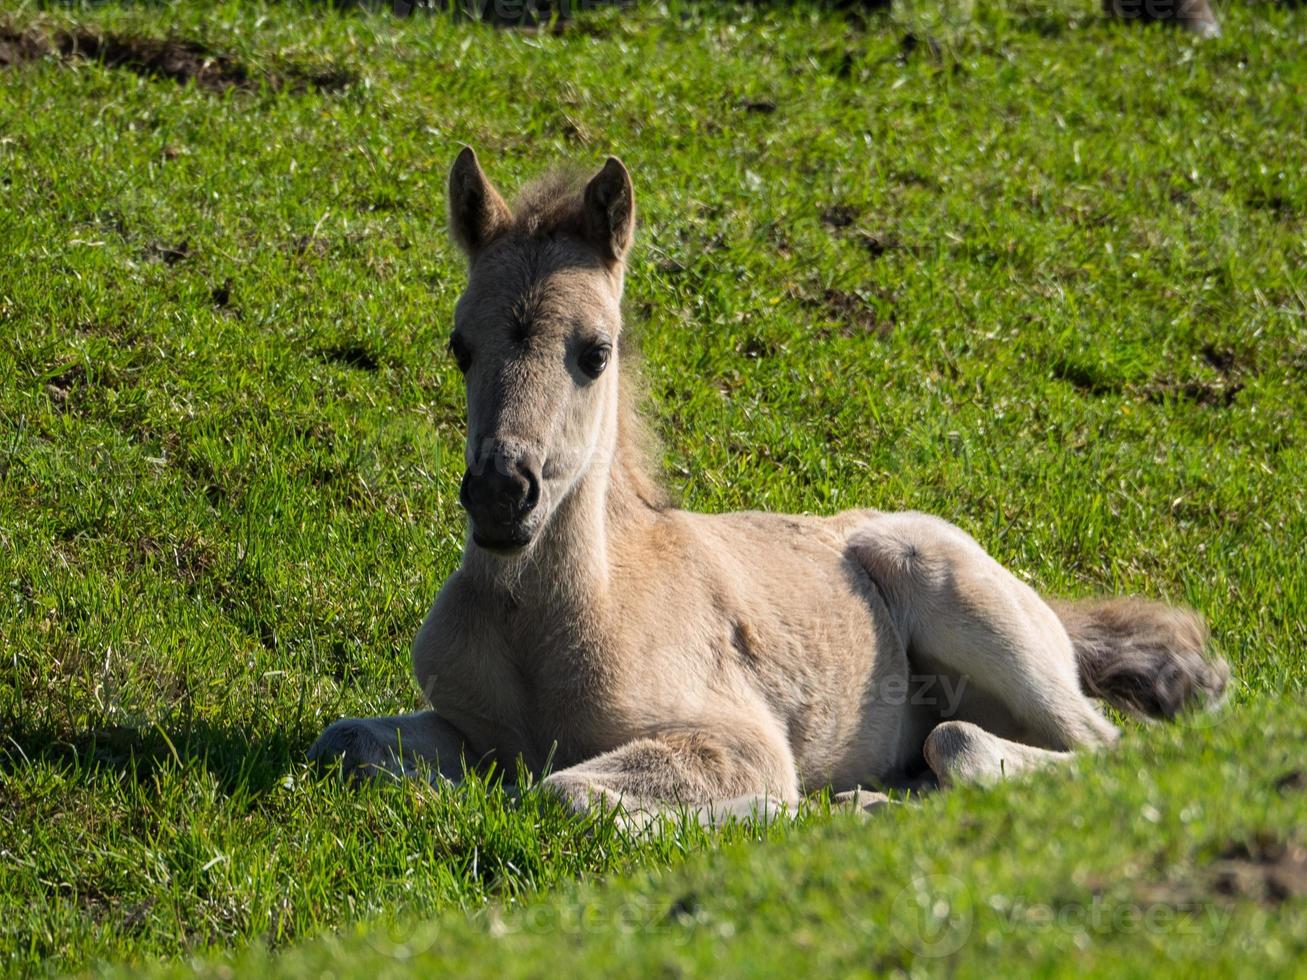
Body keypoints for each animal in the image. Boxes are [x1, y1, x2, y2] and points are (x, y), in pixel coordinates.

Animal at [311, 149, 1228, 825]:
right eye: (459, 346)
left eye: (595, 351)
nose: (503, 494)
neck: (544, 626)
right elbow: (342, 742)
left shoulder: (738, 738)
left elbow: (567, 792)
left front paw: (776, 816)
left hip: (963, 604)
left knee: (1059, 747)